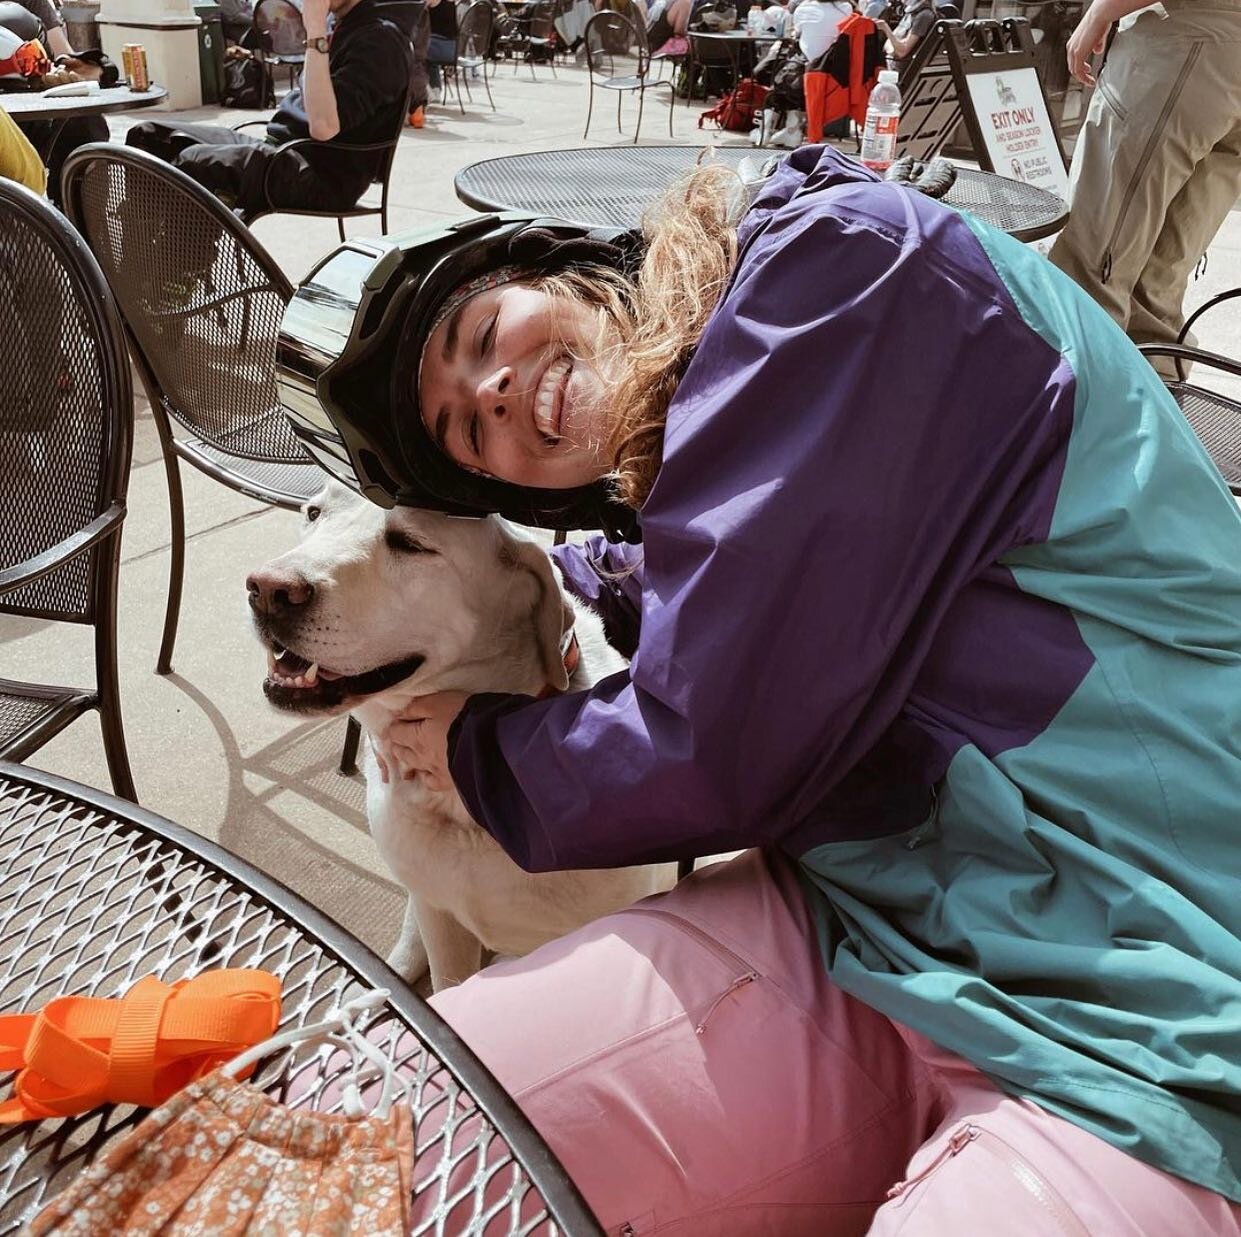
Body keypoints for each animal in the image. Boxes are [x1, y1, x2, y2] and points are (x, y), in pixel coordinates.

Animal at [248, 486, 675, 987]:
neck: (463, 806)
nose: (267, 590)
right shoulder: (440, 919)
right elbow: (444, 979)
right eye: (314, 512)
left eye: (410, 543)